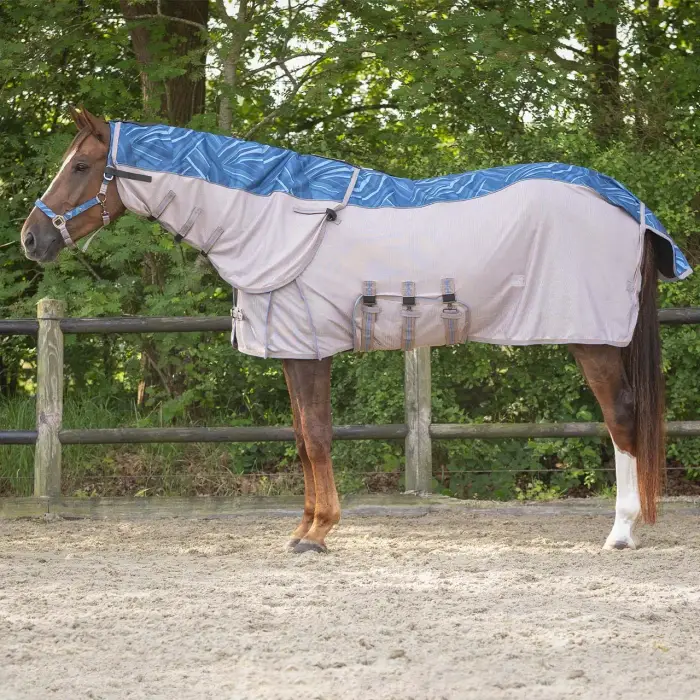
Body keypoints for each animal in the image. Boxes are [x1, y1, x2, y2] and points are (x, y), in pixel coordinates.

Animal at [21, 107, 691, 553]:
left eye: (82, 165)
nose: (32, 238)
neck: (275, 217)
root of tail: (629, 208)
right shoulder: (294, 350)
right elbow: (301, 438)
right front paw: (305, 526)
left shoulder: (308, 350)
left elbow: (316, 437)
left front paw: (318, 534)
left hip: (593, 338)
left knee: (622, 417)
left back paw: (621, 532)